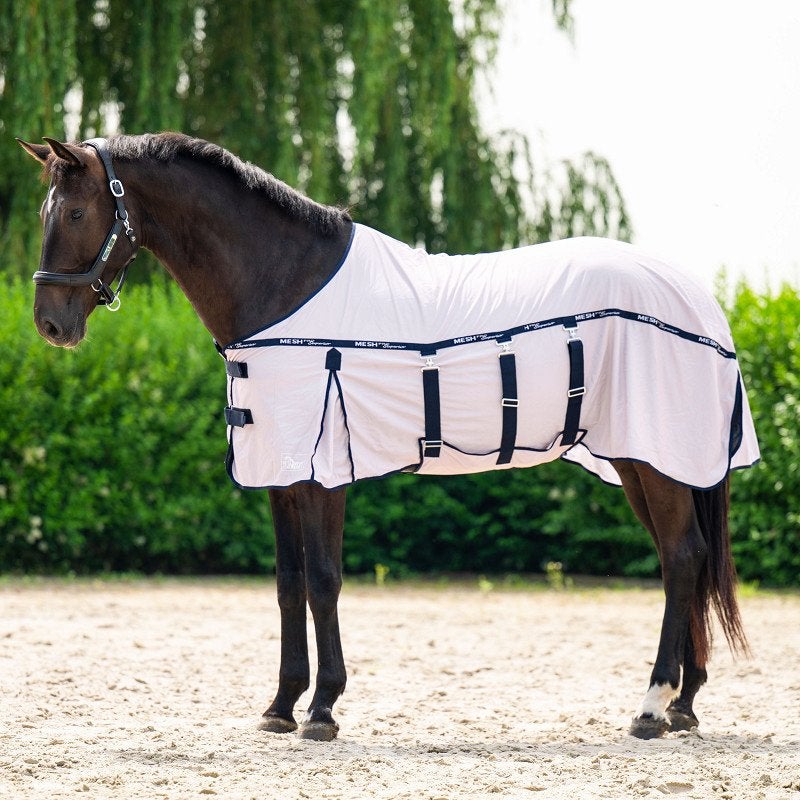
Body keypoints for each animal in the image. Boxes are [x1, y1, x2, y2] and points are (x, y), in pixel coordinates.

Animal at [17, 133, 758, 742]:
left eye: (77, 213)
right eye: (45, 211)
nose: (51, 324)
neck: (284, 284)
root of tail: (701, 299)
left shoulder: (323, 471)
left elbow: (323, 580)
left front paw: (322, 710)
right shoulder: (280, 472)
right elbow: (287, 583)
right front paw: (280, 706)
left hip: (654, 458)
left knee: (682, 558)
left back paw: (651, 706)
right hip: (643, 461)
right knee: (686, 560)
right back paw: (683, 705)